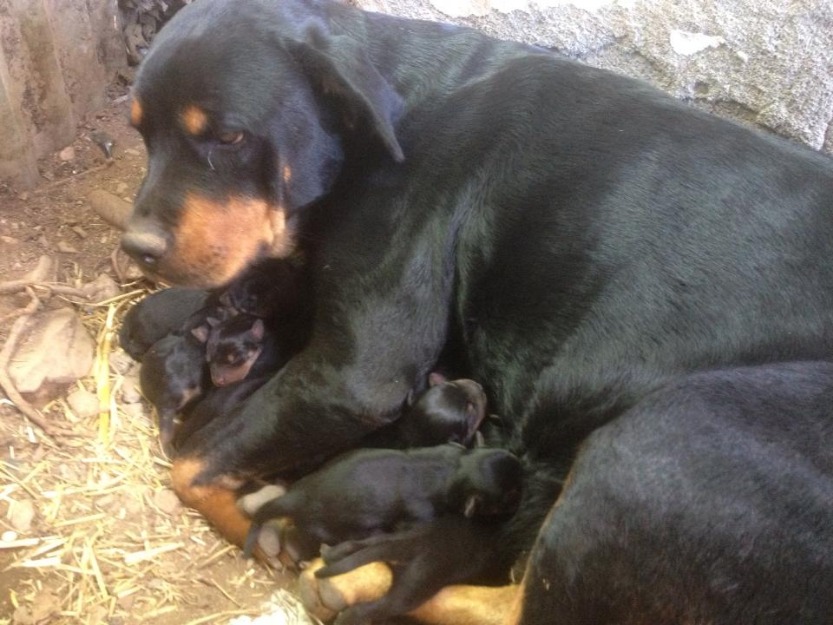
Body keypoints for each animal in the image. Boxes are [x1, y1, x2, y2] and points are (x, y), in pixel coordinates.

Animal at [240, 444, 524, 556]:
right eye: (510, 496)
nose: (523, 492)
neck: (453, 468)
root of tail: (298, 496)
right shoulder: (421, 514)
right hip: (327, 528)